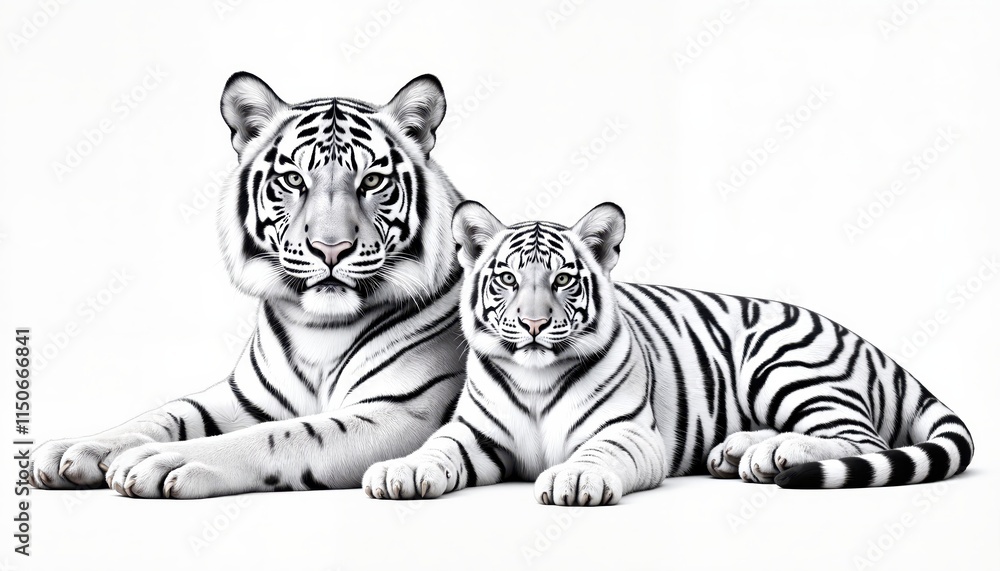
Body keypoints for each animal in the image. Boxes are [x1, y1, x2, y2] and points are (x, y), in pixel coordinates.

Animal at [28, 72, 469, 498]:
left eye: (373, 181)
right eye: (293, 180)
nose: (331, 248)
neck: (318, 328)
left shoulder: (401, 410)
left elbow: (283, 434)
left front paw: (159, 459)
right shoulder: (242, 396)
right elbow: (166, 413)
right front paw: (75, 447)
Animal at [362, 200, 974, 505]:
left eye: (563, 280)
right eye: (508, 279)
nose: (534, 326)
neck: (536, 380)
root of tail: (874, 347)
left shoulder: (628, 432)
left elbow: (595, 454)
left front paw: (572, 480)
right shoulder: (473, 433)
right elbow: (435, 449)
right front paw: (399, 472)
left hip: (782, 364)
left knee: (860, 440)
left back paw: (774, 456)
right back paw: (742, 452)